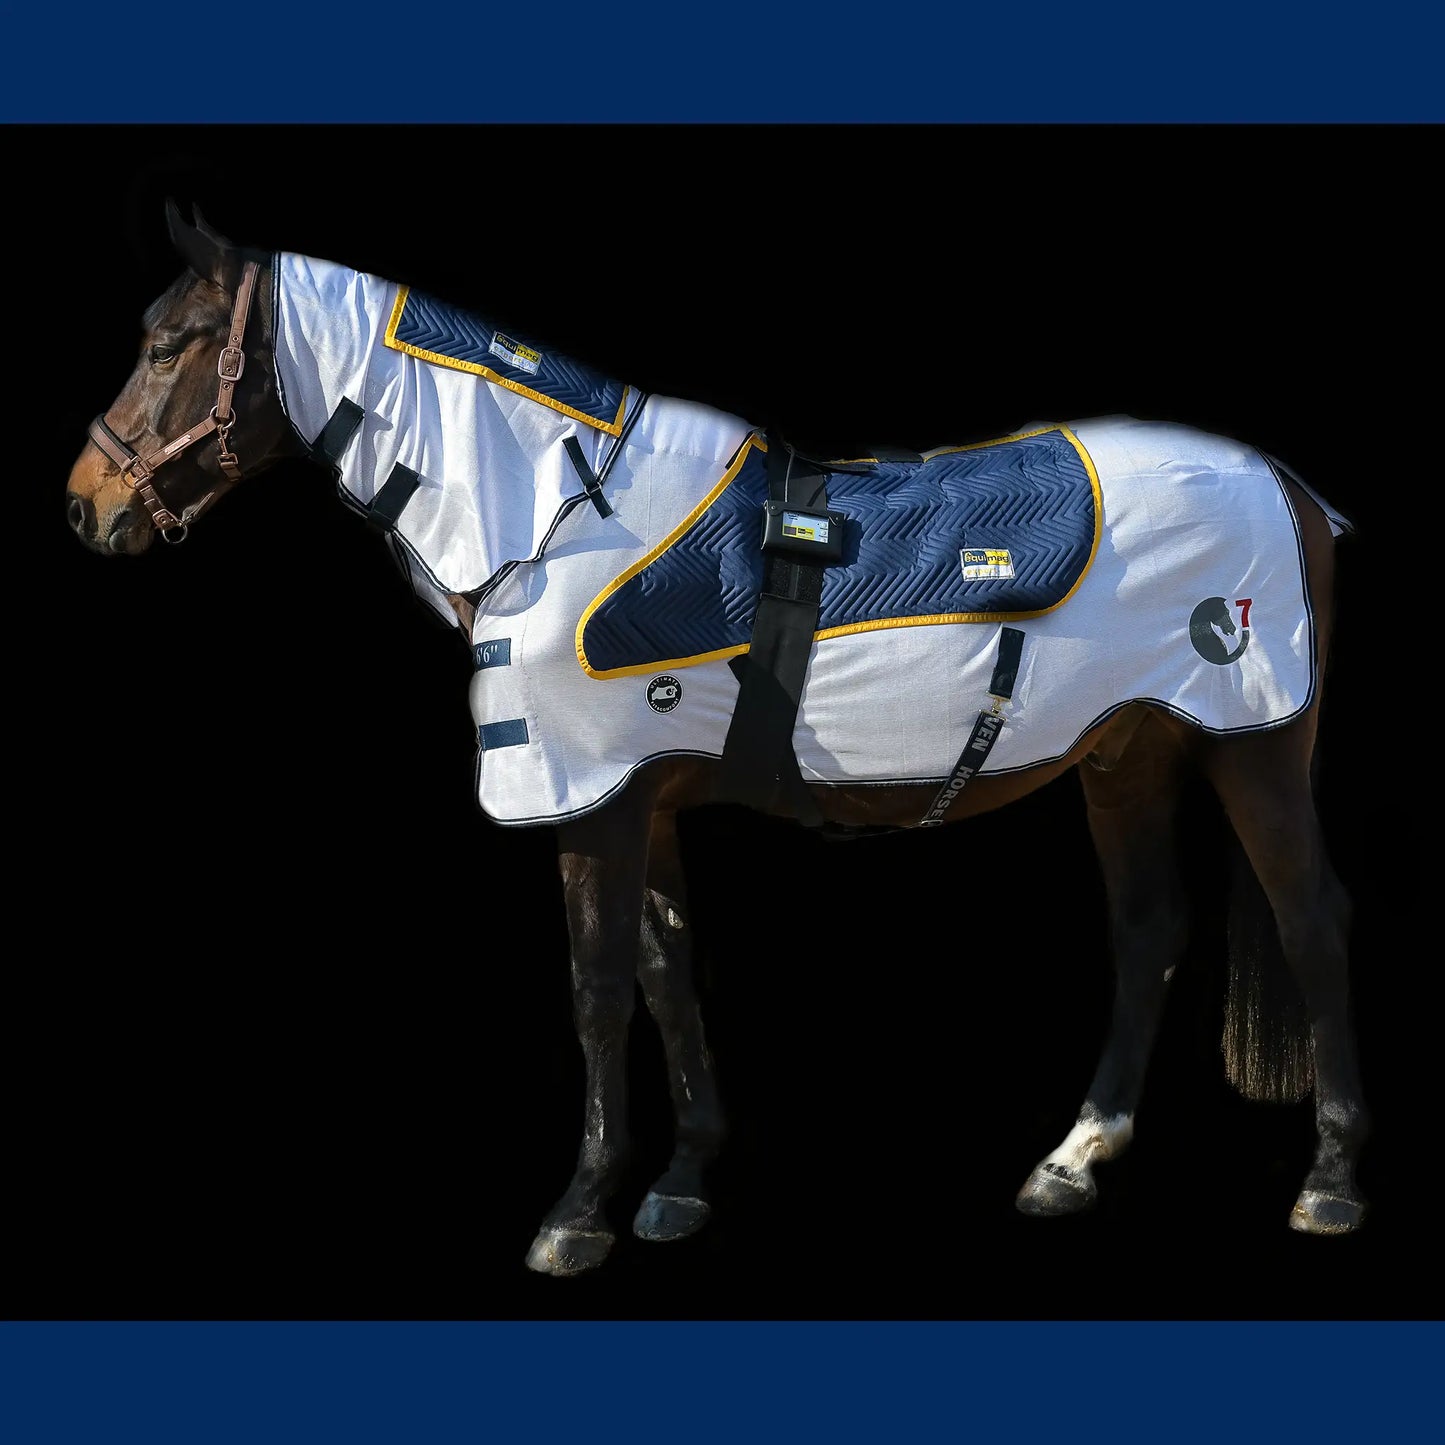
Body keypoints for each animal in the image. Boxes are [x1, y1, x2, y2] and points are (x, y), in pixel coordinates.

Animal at [62, 201, 1369, 1278]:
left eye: (174, 344)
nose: (88, 504)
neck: (553, 512)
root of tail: (1293, 489)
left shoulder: (587, 801)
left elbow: (596, 993)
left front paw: (577, 1211)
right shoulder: (639, 798)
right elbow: (666, 973)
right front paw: (682, 1180)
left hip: (1252, 749)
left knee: (1310, 923)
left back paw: (1329, 1183)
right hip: (1123, 756)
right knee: (1148, 931)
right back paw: (1069, 1160)